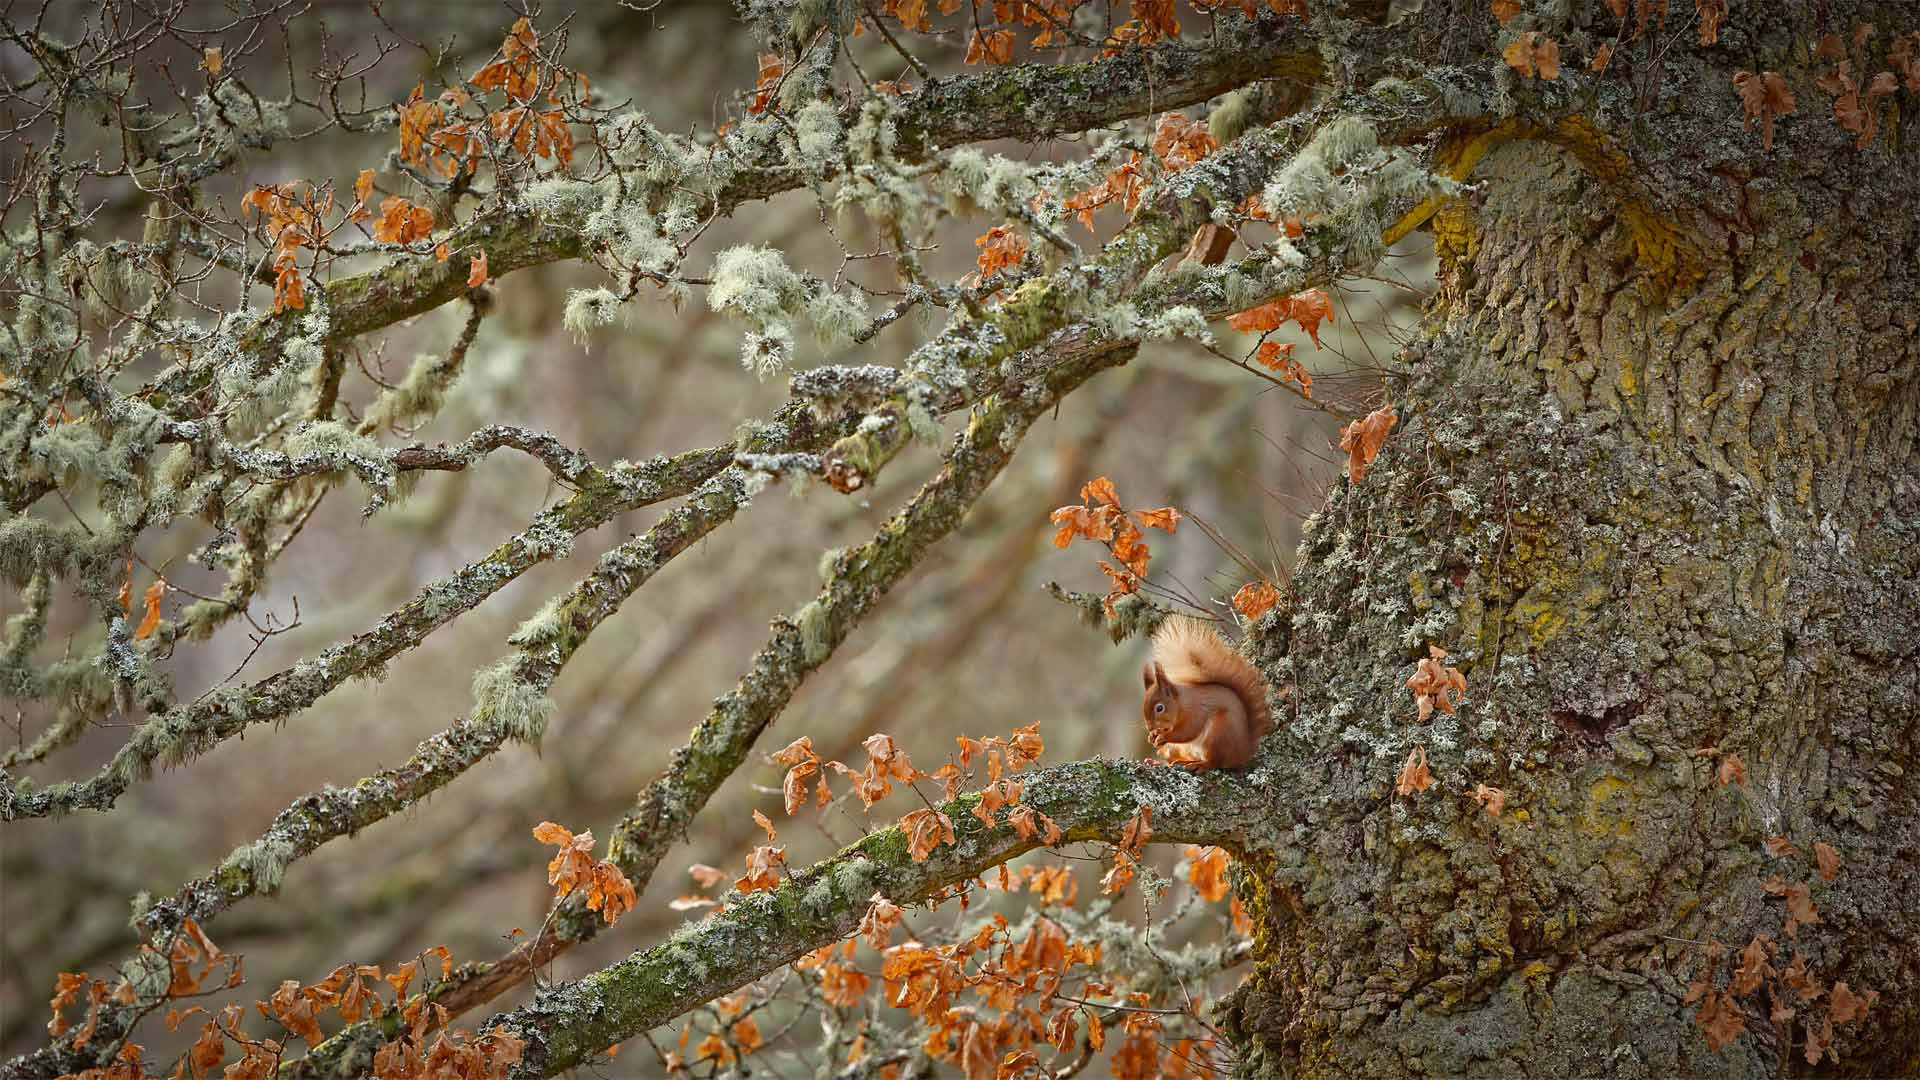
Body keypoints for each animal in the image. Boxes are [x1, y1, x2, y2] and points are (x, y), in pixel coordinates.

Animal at [1136, 614, 1274, 764]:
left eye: (1159, 708)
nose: (1149, 727)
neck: (1181, 703)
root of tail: (1243, 753)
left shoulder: (1195, 712)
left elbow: (1187, 732)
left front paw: (1163, 737)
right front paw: (1153, 735)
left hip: (1219, 732)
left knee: (1216, 761)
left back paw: (1200, 765)